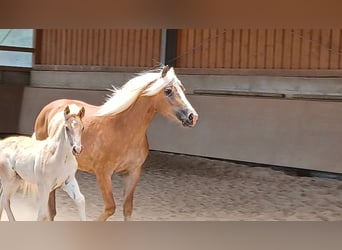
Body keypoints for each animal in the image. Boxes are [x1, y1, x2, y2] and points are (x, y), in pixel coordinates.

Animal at [33, 66, 199, 221]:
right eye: (168, 91)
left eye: (183, 89)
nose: (192, 116)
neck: (122, 129)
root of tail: (50, 108)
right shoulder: (103, 174)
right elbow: (110, 207)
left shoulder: (132, 173)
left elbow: (127, 209)